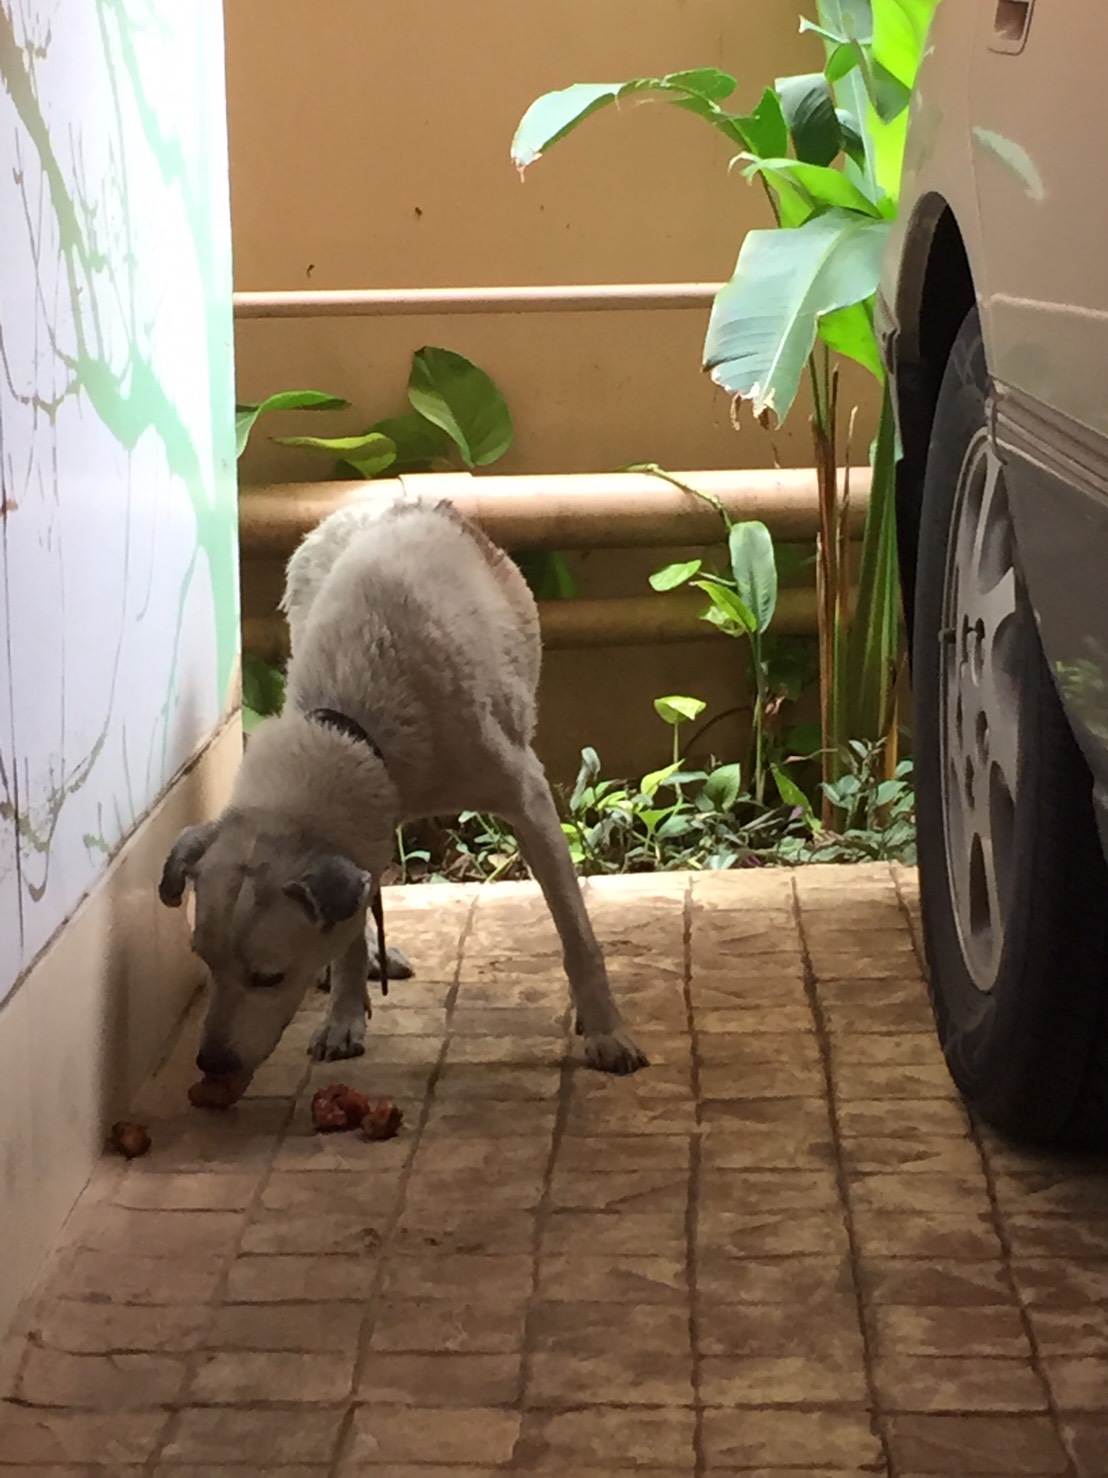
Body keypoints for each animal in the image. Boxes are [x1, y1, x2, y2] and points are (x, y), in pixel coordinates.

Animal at [159, 491, 647, 1082]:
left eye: (269, 977)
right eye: (203, 961)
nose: (209, 1064)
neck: (350, 727)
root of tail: (385, 495)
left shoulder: (528, 800)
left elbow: (578, 934)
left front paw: (605, 1032)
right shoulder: (361, 830)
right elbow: (345, 935)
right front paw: (344, 1017)